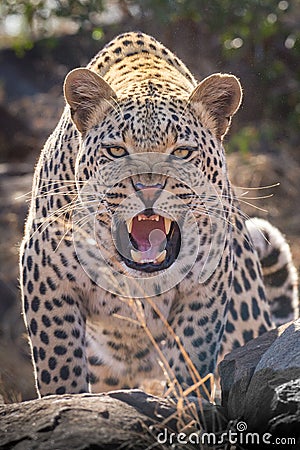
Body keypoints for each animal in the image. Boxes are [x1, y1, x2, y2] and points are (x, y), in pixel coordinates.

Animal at [19, 31, 298, 398]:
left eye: (181, 151)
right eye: (116, 150)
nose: (148, 188)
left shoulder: (206, 285)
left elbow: (190, 358)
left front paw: (187, 406)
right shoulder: (46, 276)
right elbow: (60, 367)